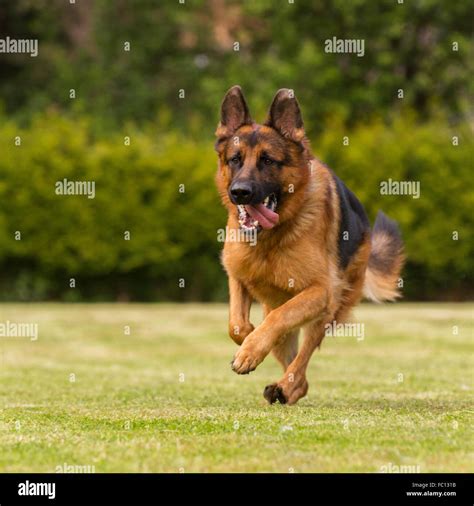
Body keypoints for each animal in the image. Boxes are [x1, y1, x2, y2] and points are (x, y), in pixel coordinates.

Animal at [215, 85, 404, 406]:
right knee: (289, 353)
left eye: (268, 160)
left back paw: (286, 387)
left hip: (328, 309)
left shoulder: (319, 291)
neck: (271, 239)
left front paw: (250, 351)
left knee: (301, 359)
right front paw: (248, 341)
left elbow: (280, 318)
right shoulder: (237, 276)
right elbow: (237, 325)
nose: (240, 192)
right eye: (235, 159)